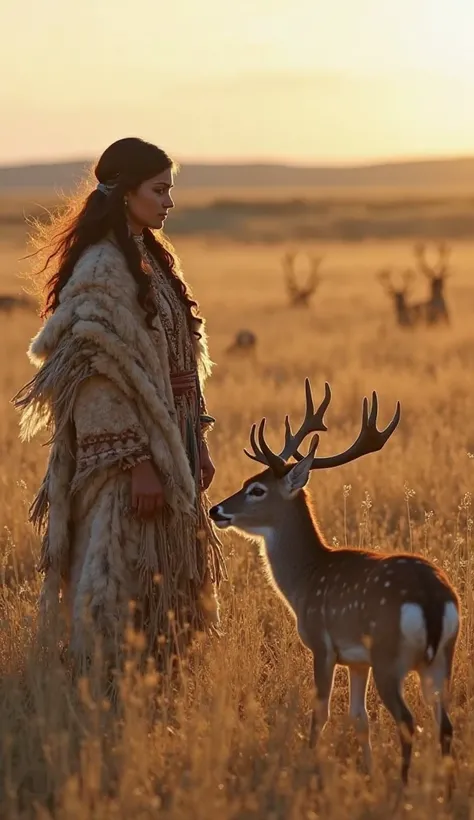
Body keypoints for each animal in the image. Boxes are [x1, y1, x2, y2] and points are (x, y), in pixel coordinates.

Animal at [210, 382, 460, 788]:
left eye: (257, 490)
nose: (216, 509)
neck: (307, 579)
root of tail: (432, 599)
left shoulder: (323, 643)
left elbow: (320, 714)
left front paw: (308, 766)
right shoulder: (357, 660)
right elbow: (360, 719)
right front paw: (367, 771)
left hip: (390, 654)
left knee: (409, 722)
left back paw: (403, 788)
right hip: (440, 658)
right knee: (446, 724)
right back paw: (446, 789)